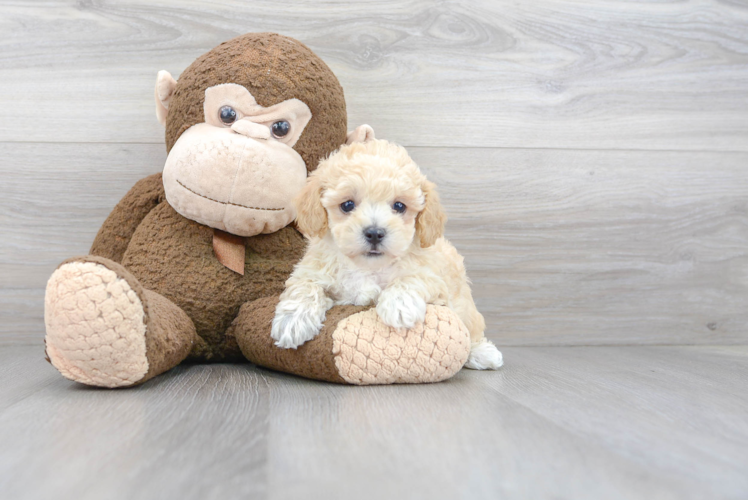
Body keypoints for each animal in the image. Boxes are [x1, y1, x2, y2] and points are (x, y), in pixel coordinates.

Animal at [270, 139, 502, 370]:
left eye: (399, 206)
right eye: (347, 205)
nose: (374, 233)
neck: (367, 267)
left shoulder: (435, 278)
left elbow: (412, 278)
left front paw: (399, 305)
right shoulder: (312, 269)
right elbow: (305, 286)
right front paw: (293, 320)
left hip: (465, 305)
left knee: (471, 329)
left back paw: (483, 353)